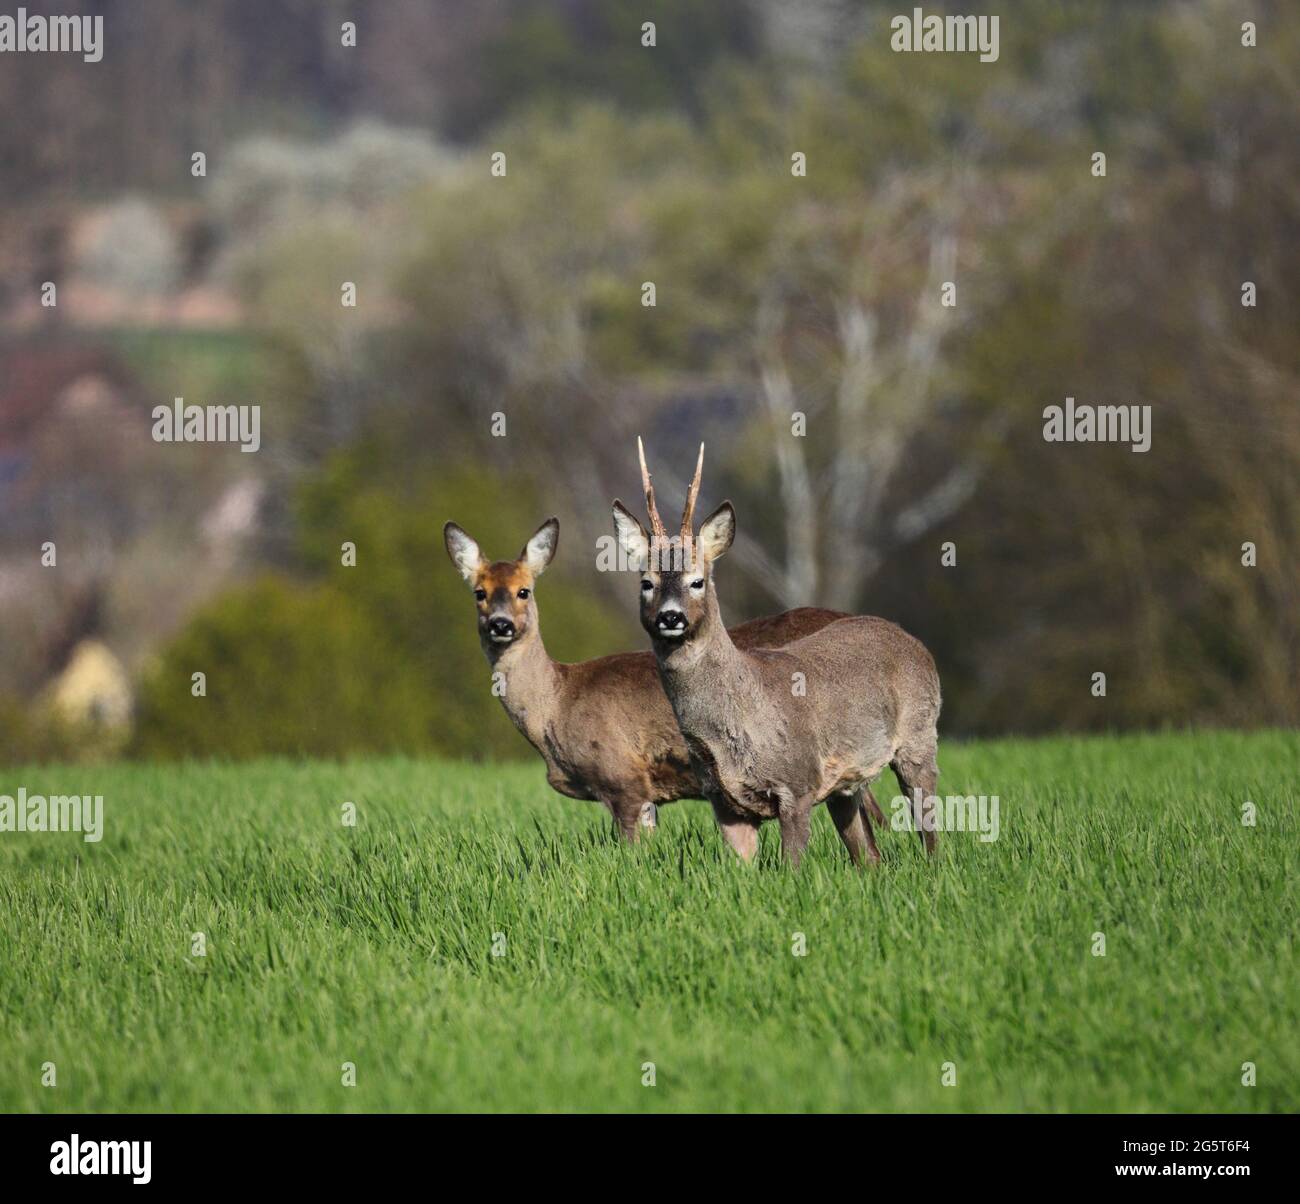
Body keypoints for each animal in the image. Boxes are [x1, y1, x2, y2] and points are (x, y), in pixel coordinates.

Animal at [611, 440, 942, 867]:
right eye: (647, 582)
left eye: (697, 580)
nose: (671, 616)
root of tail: (912, 640)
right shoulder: (724, 802)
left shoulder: (797, 785)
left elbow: (792, 868)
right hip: (845, 785)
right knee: (868, 854)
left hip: (920, 735)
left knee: (929, 826)